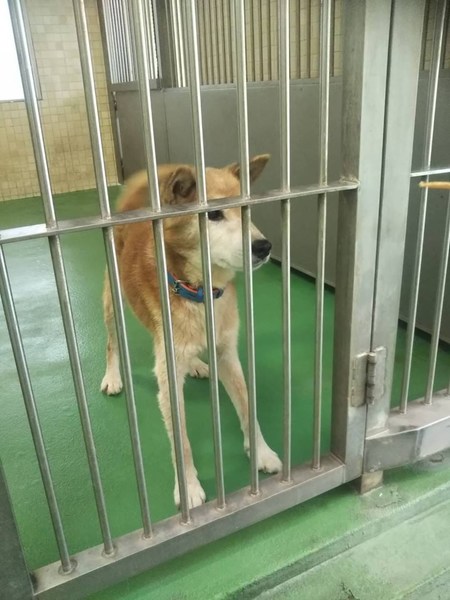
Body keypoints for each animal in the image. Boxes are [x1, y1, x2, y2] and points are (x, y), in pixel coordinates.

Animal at [101, 155, 282, 509]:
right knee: (113, 343)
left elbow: (248, 409)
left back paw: (197, 364)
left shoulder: (227, 355)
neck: (200, 292)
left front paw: (262, 453)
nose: (264, 246)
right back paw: (113, 377)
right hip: (112, 302)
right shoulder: (169, 381)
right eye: (213, 214)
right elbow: (181, 441)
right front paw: (189, 488)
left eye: (247, 210)